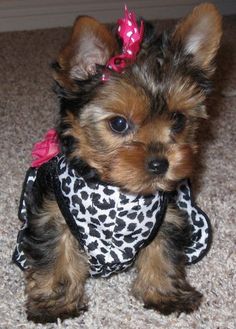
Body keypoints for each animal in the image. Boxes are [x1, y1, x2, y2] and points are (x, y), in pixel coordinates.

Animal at [12, 2, 221, 322]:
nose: (160, 164)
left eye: (178, 120)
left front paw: (165, 294)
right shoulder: (50, 215)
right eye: (119, 124)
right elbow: (55, 256)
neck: (119, 190)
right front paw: (56, 305)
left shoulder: (170, 216)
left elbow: (162, 253)